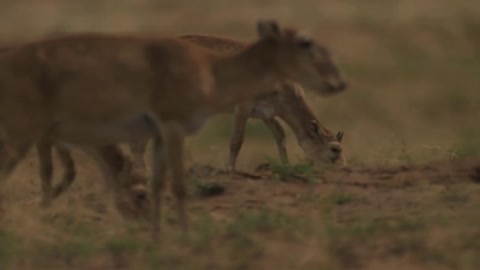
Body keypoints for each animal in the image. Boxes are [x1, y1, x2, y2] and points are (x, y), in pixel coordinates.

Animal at [0, 20, 344, 240]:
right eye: (335, 149)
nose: (340, 167)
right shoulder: (243, 107)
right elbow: (236, 140)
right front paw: (230, 170)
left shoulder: (265, 115)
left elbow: (281, 136)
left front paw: (283, 165)